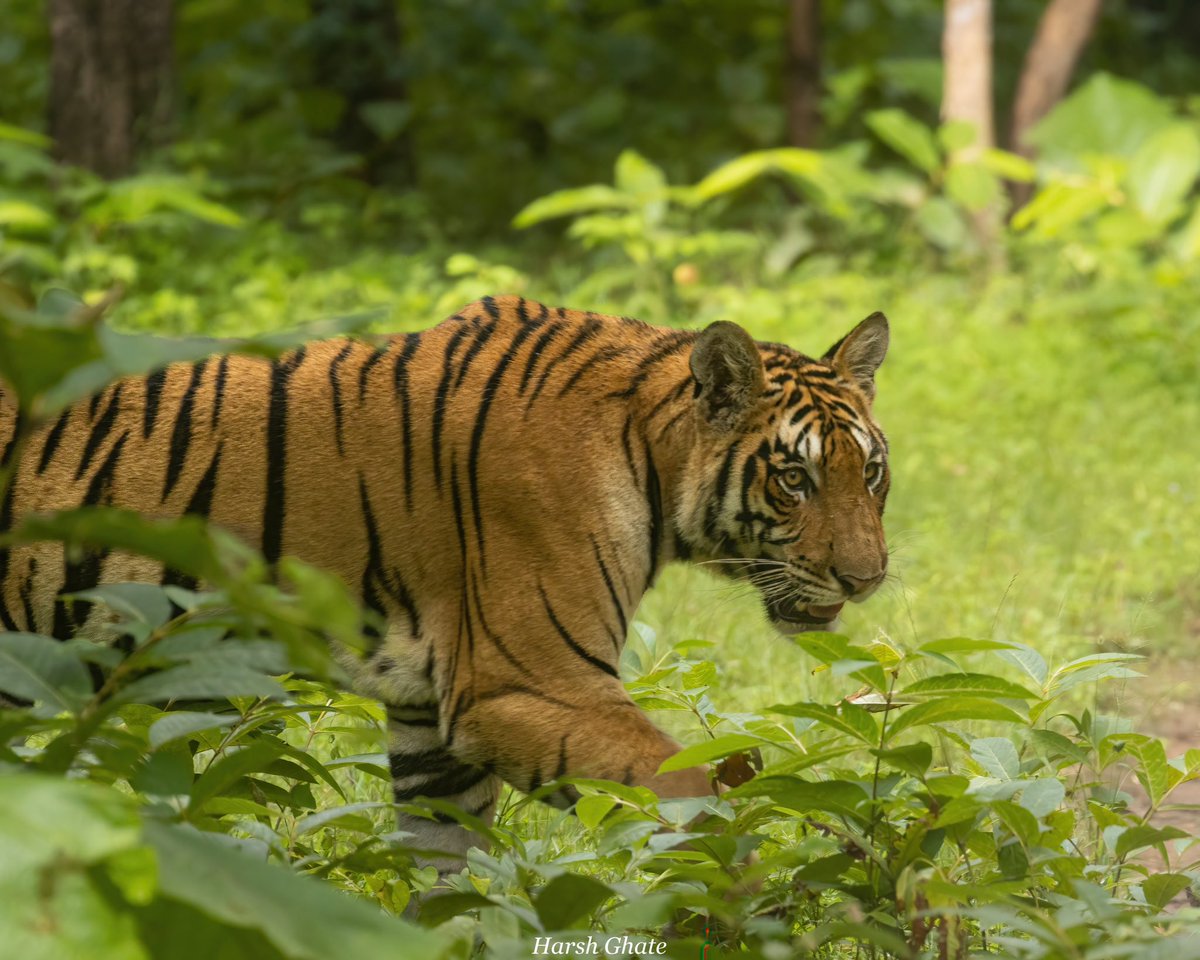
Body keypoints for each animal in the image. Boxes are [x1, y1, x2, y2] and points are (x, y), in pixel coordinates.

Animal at [0, 296, 888, 873]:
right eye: (796, 480)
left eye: (871, 472)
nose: (868, 578)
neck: (649, 455)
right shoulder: (528, 685)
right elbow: (703, 792)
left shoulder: (434, 728)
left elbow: (450, 882)